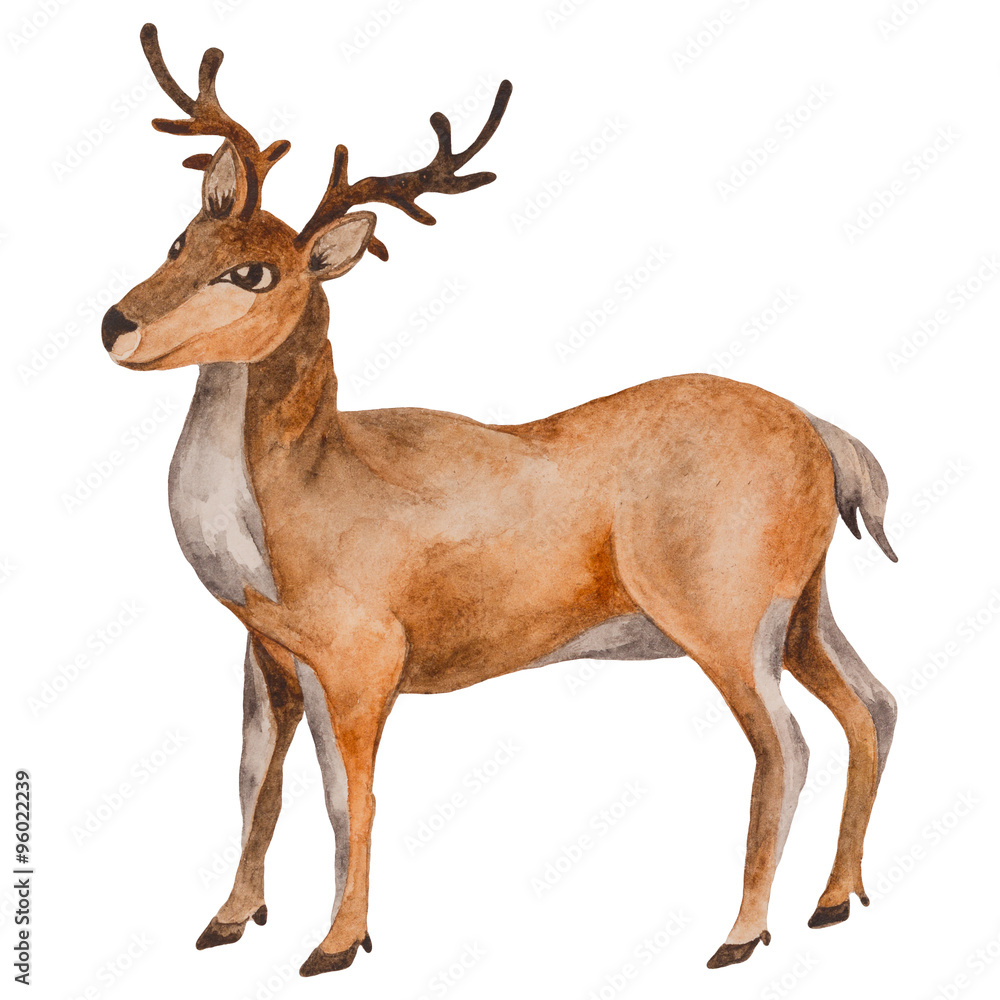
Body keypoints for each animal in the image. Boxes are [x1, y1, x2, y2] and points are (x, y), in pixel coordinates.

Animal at [101, 22, 899, 977]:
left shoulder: (364, 655)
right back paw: (834, 903)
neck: (294, 511)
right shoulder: (269, 653)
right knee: (873, 705)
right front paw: (227, 920)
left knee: (787, 744)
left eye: (256, 272)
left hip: (727, 616)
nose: (117, 325)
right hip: (806, 607)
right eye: (182, 238)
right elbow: (257, 780)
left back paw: (740, 936)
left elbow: (349, 795)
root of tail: (826, 435)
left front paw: (337, 942)